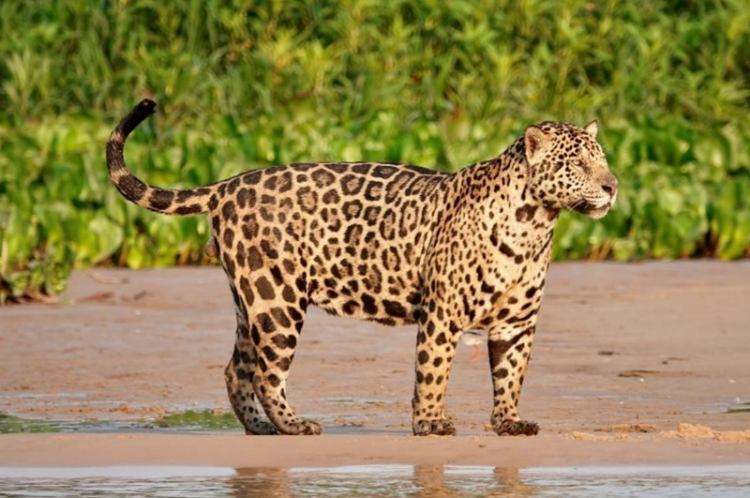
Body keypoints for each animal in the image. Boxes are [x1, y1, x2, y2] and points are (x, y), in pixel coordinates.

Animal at [106, 99, 618, 437]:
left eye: (604, 160)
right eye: (578, 164)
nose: (613, 186)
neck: (534, 223)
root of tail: (228, 184)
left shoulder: (517, 323)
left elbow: (511, 375)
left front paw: (508, 422)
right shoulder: (442, 314)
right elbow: (433, 371)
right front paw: (430, 423)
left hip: (251, 299)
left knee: (238, 369)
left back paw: (260, 428)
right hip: (278, 301)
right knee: (268, 373)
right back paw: (294, 425)